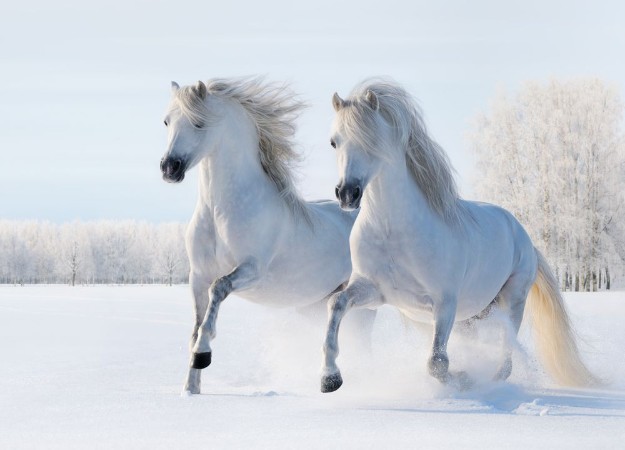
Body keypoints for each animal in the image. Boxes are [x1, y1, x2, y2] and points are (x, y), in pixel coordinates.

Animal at [160, 79, 370, 396]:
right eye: (167, 121)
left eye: (199, 123)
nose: (169, 168)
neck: (220, 212)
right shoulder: (197, 276)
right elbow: (195, 328)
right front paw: (191, 388)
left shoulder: (252, 270)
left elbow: (218, 291)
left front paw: (203, 355)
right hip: (316, 303)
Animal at [322, 79, 596, 392]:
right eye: (334, 141)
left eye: (372, 139)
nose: (347, 193)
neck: (393, 231)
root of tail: (524, 236)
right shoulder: (374, 290)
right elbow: (336, 303)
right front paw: (329, 378)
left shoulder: (445, 303)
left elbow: (437, 363)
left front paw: (463, 379)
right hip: (472, 316)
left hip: (512, 300)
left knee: (507, 354)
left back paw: (491, 382)